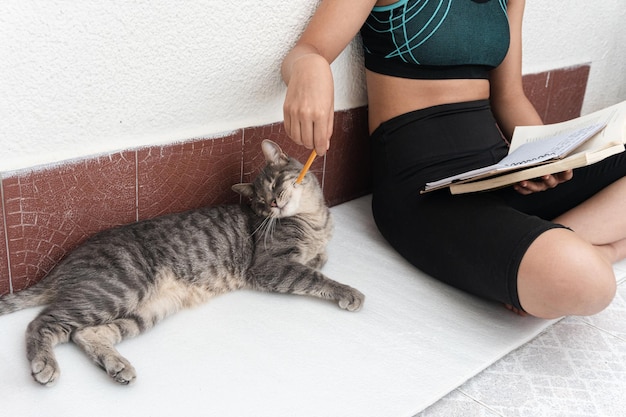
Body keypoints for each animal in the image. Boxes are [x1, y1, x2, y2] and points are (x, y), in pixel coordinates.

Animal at [0, 139, 364, 384]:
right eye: (260, 200)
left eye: (274, 185)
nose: (273, 203)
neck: (315, 219)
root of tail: (63, 263)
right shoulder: (268, 267)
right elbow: (313, 277)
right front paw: (349, 292)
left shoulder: (303, 255)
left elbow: (317, 261)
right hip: (118, 288)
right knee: (42, 322)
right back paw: (45, 364)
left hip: (148, 309)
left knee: (85, 334)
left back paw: (117, 366)